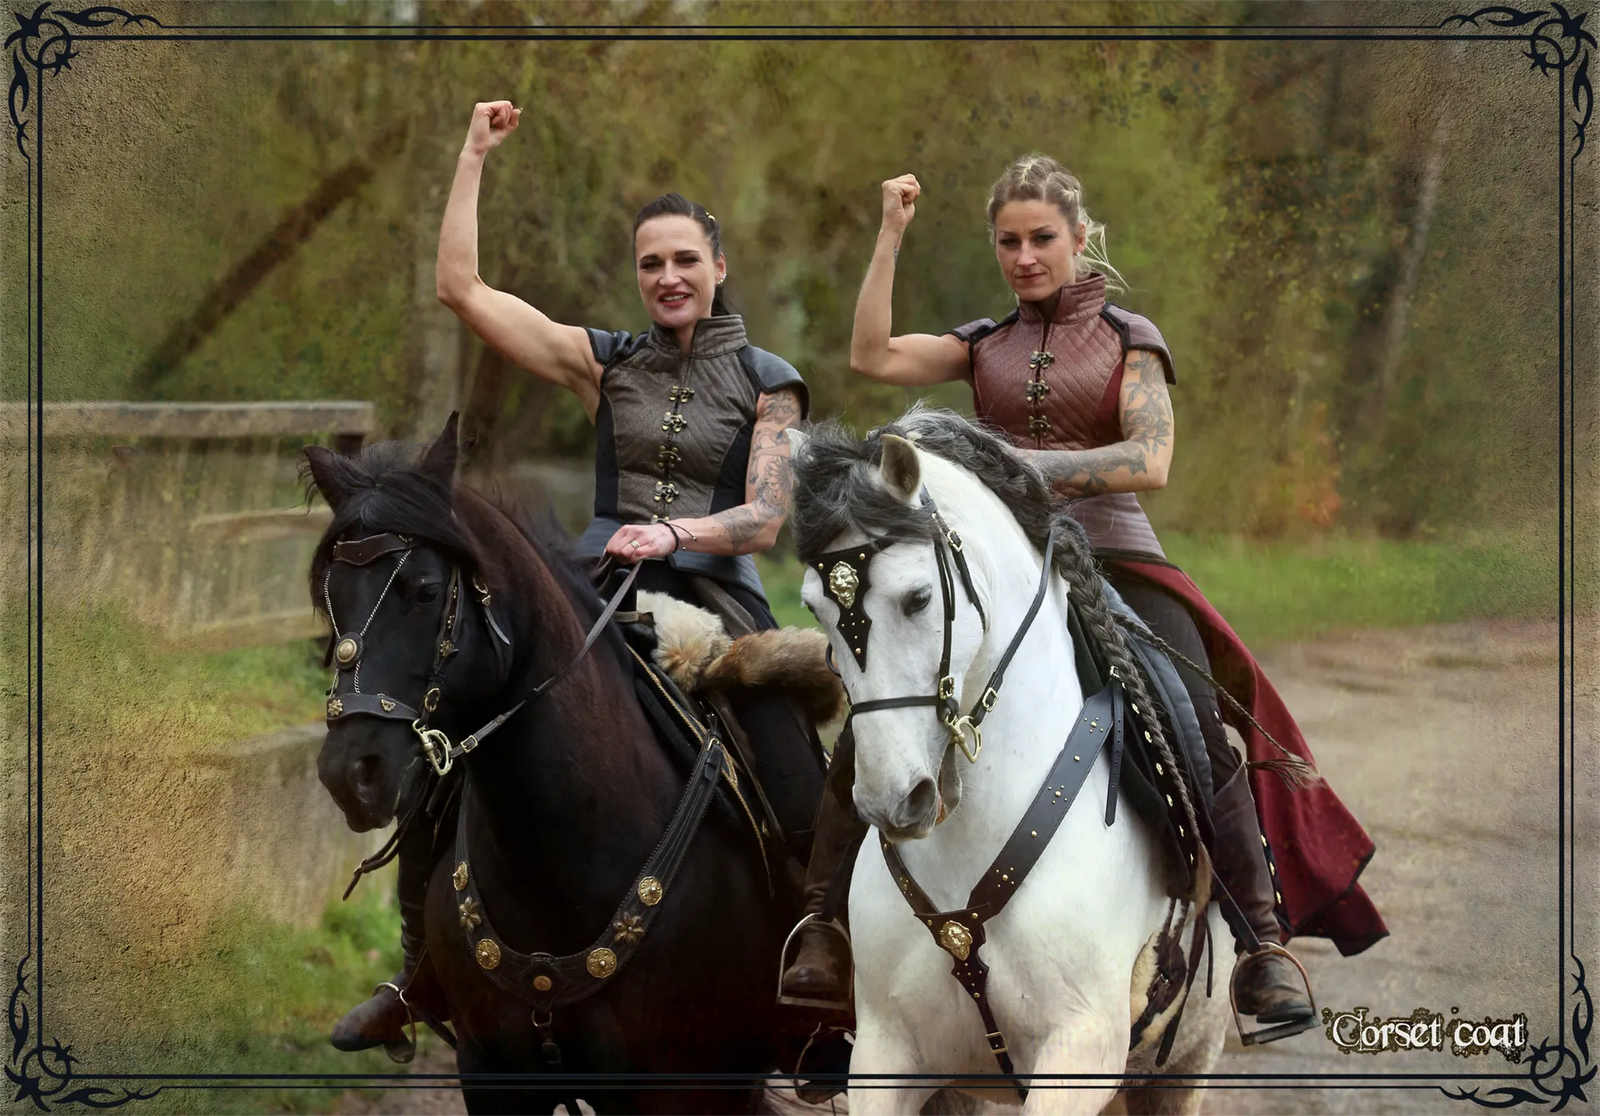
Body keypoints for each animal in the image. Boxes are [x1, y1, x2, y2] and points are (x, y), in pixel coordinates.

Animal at [787, 408, 1229, 1116]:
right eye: (814, 608)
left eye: (917, 597)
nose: (893, 801)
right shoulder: (885, 1054)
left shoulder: (1079, 1055)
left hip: (1184, 1066)